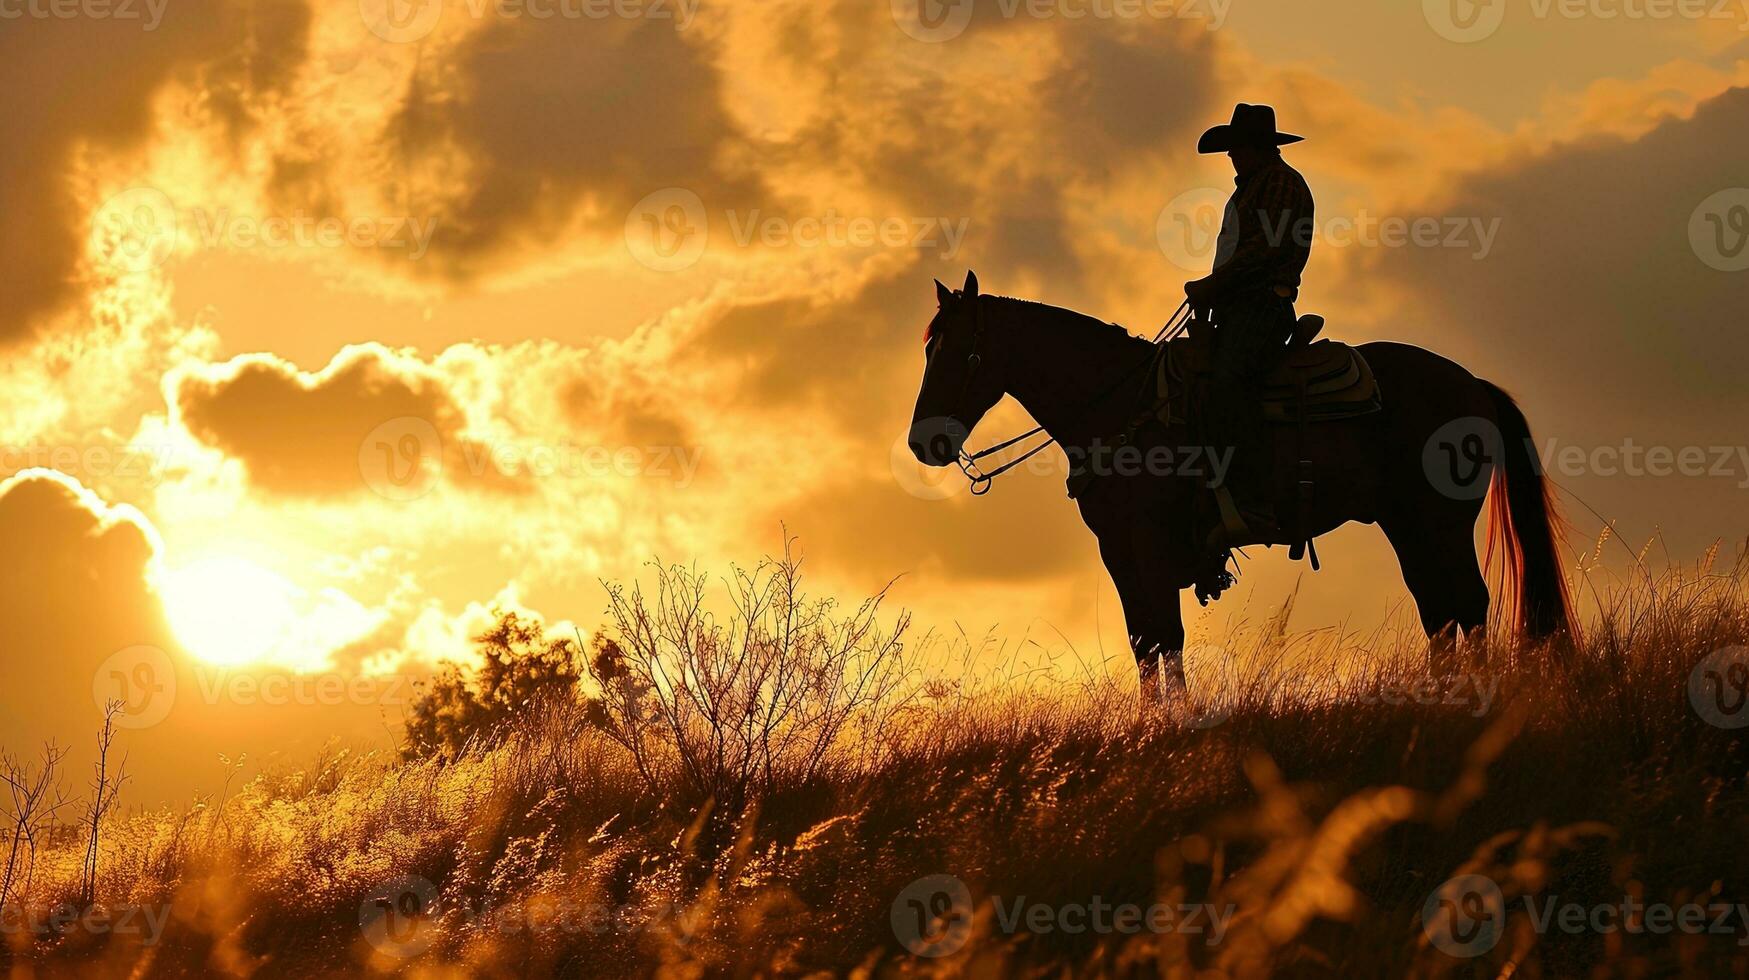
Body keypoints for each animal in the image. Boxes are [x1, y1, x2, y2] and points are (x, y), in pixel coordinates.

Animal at [902, 271, 1574, 707]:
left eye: (961, 353)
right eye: (928, 348)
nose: (922, 442)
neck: (1121, 404)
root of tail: (1473, 385)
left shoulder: (1143, 545)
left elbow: (1162, 635)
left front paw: (1173, 721)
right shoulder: (1121, 552)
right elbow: (1146, 639)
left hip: (1439, 522)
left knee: (1468, 603)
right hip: (1407, 525)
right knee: (1439, 610)